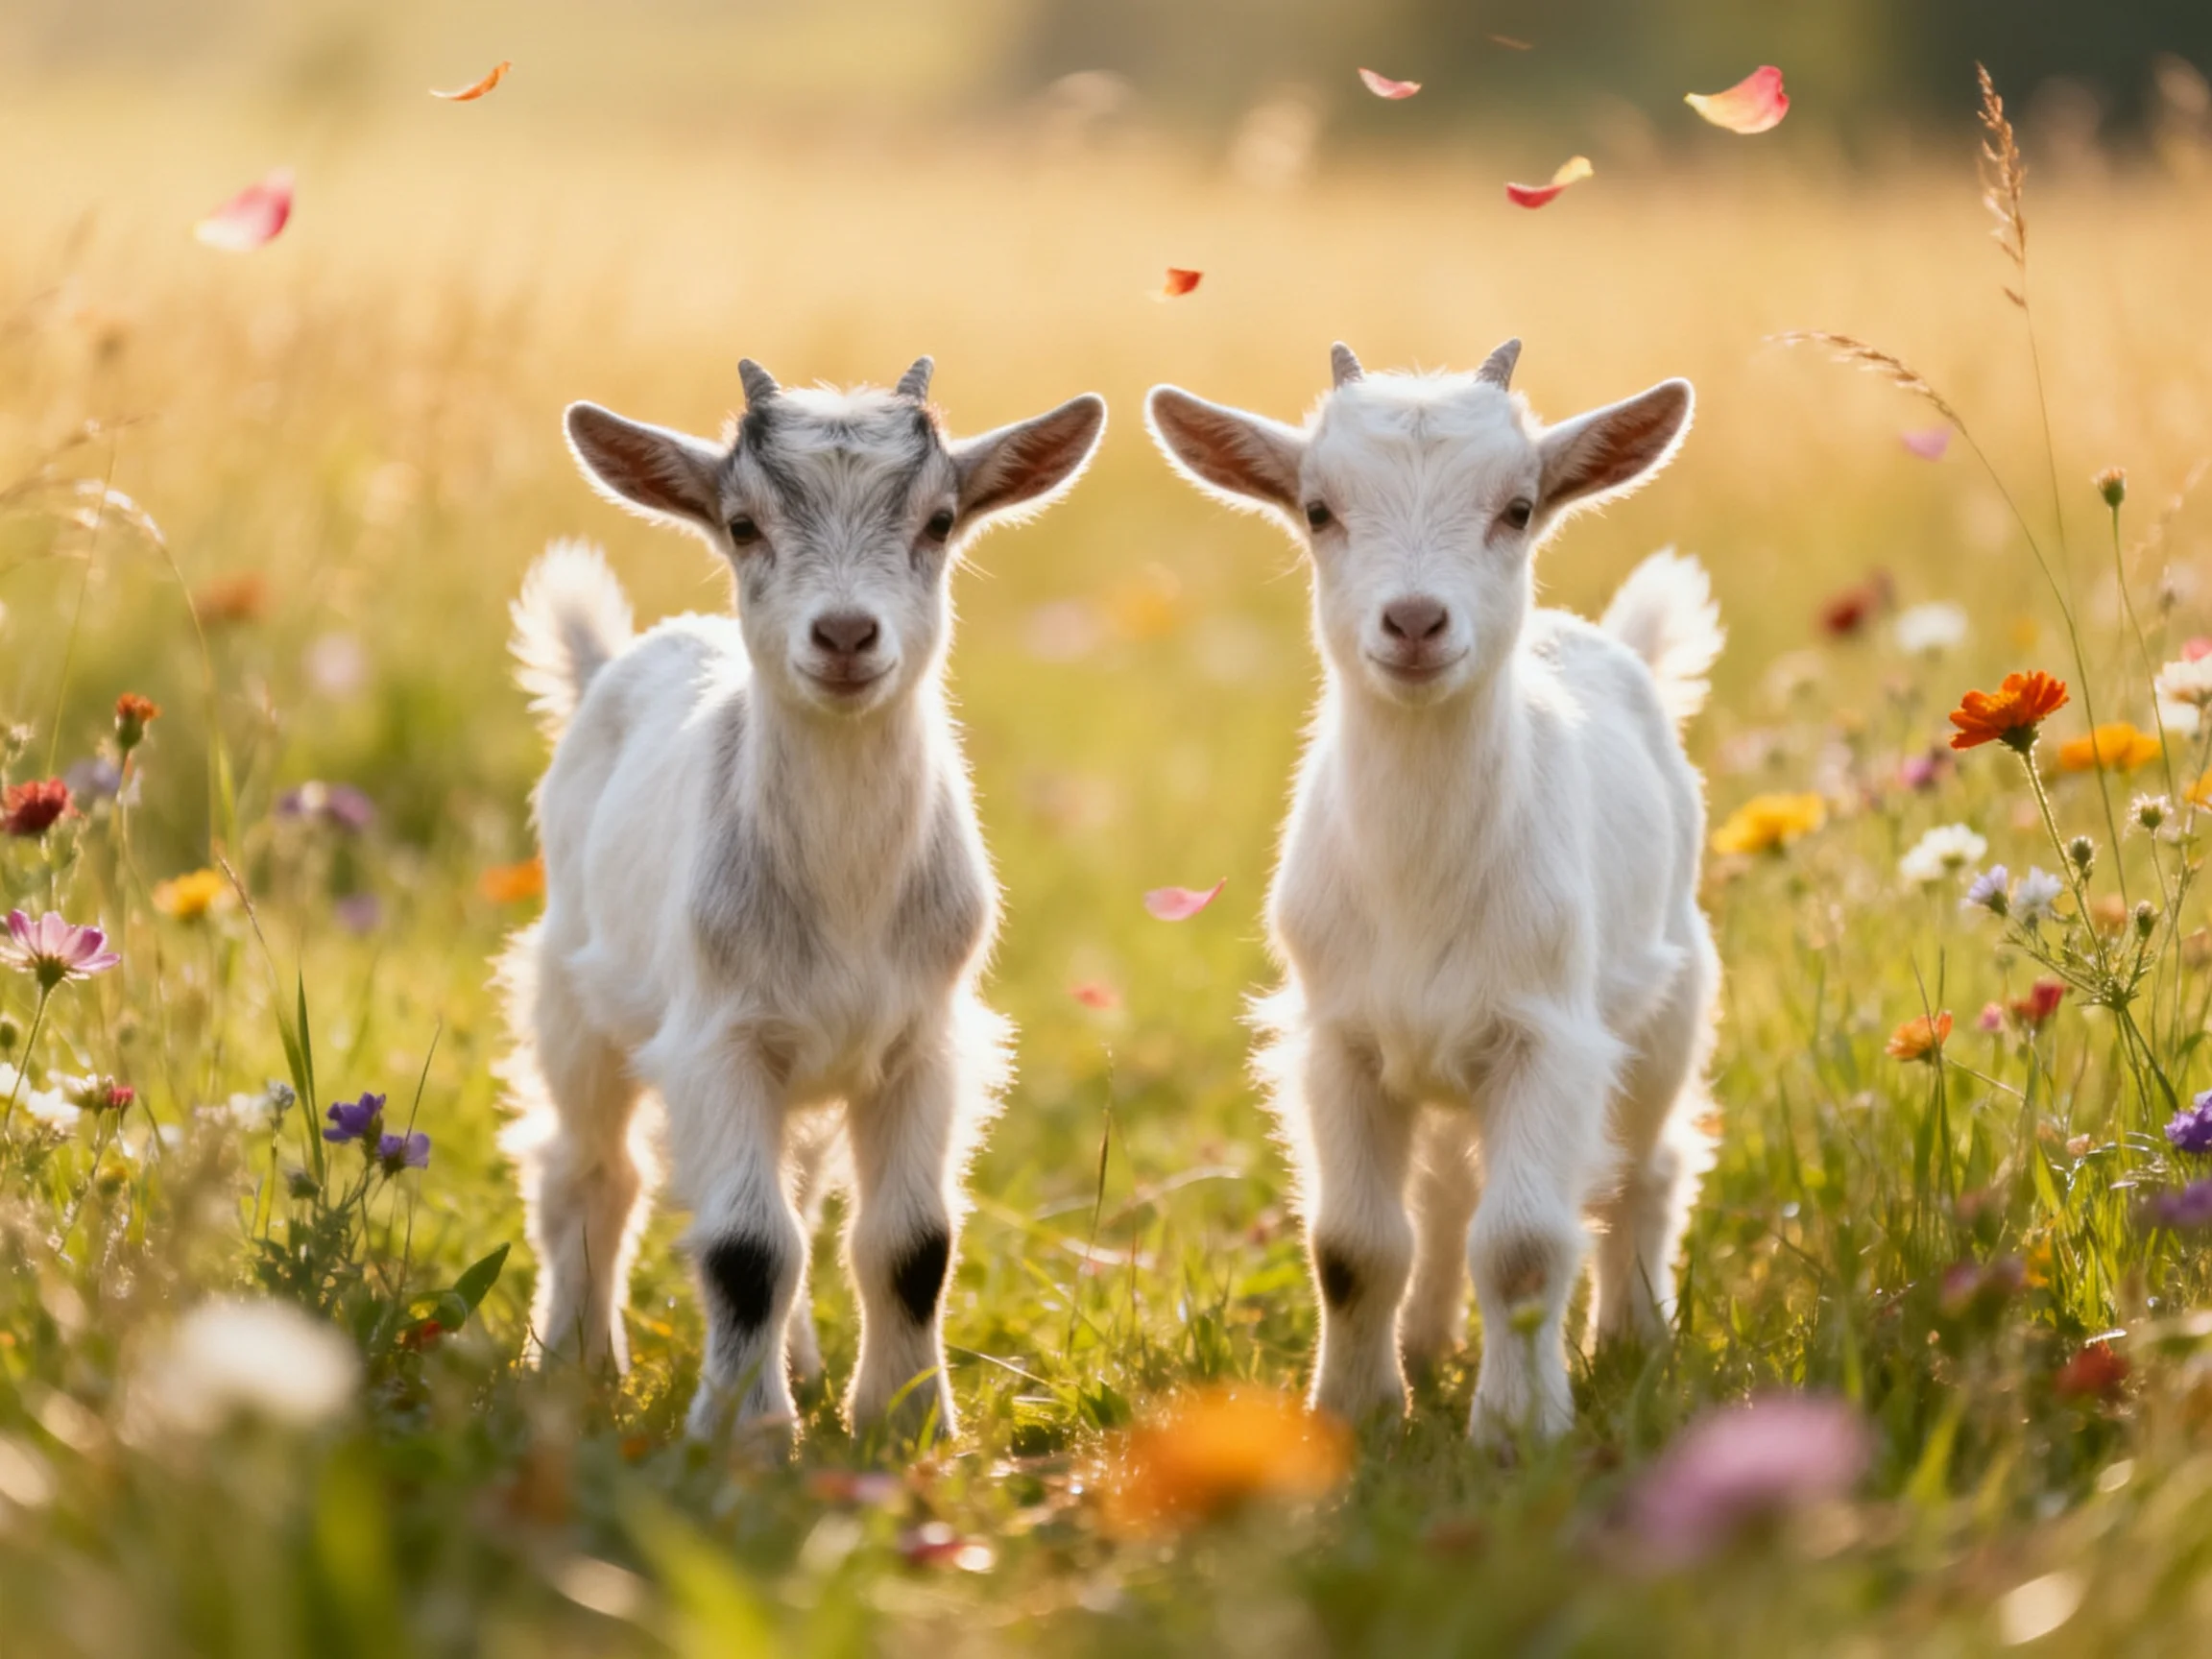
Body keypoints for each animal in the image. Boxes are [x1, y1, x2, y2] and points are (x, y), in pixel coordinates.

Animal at [500, 356, 1105, 1441]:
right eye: (742, 525)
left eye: (940, 521)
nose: (846, 634)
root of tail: (616, 660)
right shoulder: (722, 1040)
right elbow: (747, 1249)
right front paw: (744, 1436)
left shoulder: (921, 1043)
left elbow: (910, 1243)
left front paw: (908, 1424)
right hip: (572, 989)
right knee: (590, 1169)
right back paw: (574, 1361)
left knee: (804, 1190)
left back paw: (807, 1367)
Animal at [1145, 340, 1722, 1443]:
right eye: (1318, 508)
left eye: (1520, 507)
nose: (1414, 622)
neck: (1417, 879)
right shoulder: (1338, 1040)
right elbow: (1353, 1244)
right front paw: (1355, 1412)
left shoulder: (1548, 1036)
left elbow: (1526, 1244)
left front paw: (1518, 1430)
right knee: (1449, 1189)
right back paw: (1425, 1341)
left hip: (1669, 999)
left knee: (1646, 1168)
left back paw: (1632, 1339)